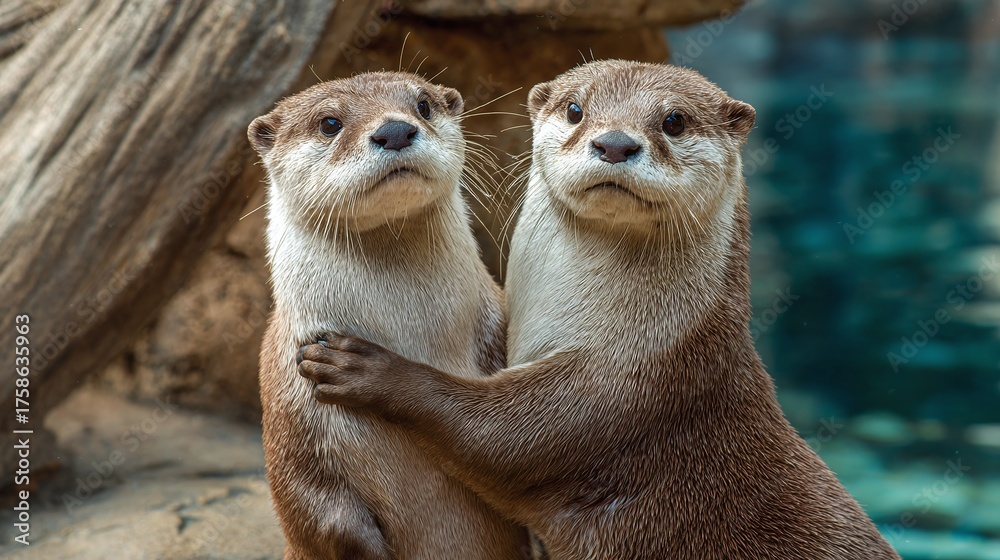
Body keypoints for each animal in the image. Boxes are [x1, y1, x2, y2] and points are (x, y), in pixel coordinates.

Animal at [249, 72, 527, 559]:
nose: (395, 130)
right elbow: (313, 510)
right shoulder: (287, 402)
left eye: (423, 105)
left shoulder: (498, 334)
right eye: (329, 122)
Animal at [296, 61, 900, 559]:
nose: (613, 143)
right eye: (575, 109)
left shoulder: (622, 392)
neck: (646, 335)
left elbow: (496, 437)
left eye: (674, 121)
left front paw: (360, 365)